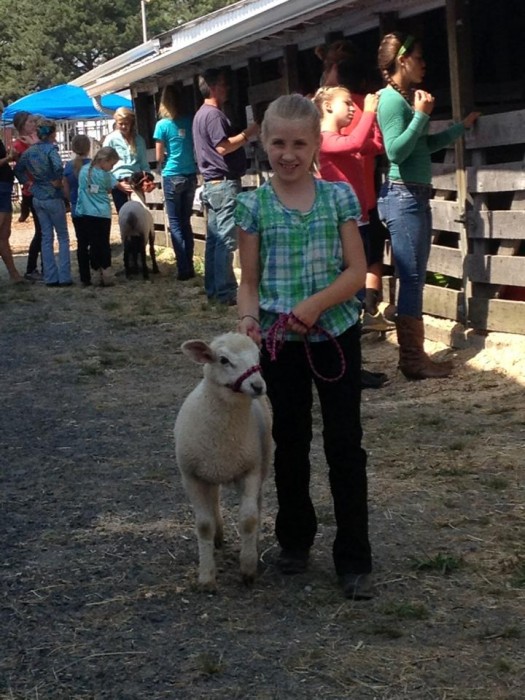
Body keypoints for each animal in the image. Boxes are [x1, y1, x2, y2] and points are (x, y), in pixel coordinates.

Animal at [174, 334, 272, 592]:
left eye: (258, 355)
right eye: (223, 360)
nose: (258, 386)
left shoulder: (250, 470)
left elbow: (248, 519)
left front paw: (248, 568)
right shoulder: (191, 477)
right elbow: (203, 526)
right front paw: (207, 577)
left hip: (259, 465)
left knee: (256, 503)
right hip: (209, 471)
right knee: (214, 499)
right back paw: (217, 536)